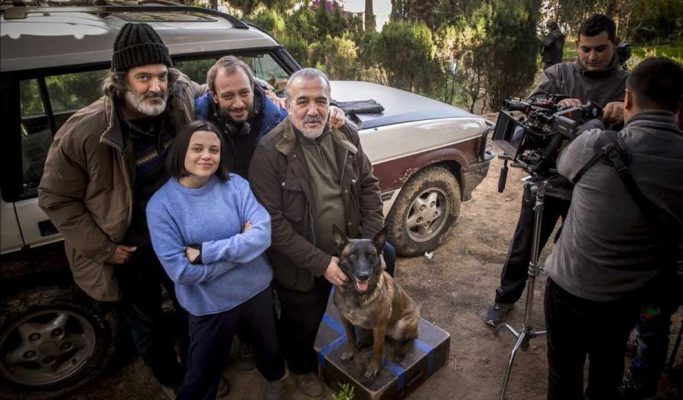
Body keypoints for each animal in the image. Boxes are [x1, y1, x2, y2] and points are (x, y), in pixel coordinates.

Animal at [332, 225, 422, 378]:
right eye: (352, 256)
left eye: (371, 256)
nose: (363, 276)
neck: (356, 295)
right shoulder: (345, 319)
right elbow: (350, 337)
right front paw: (350, 352)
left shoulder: (379, 326)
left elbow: (377, 350)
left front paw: (373, 367)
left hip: (402, 325)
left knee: (412, 337)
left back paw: (401, 352)